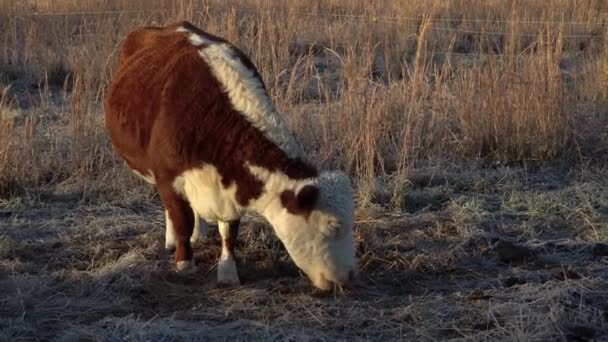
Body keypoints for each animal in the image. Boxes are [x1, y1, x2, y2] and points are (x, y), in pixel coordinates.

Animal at [104, 20, 356, 288]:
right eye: (333, 226)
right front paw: (184, 264)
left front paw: (227, 271)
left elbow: (229, 232)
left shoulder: (230, 186)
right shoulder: (168, 175)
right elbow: (181, 219)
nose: (350, 276)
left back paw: (199, 235)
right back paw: (172, 240)